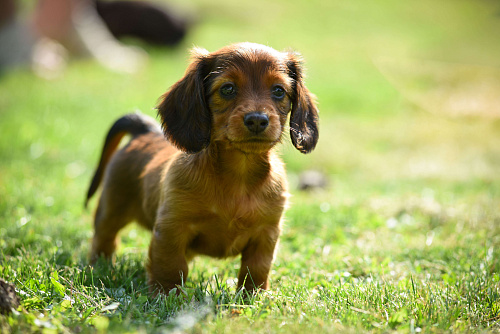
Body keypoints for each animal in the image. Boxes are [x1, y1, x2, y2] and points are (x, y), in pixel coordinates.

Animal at [85, 42, 318, 294]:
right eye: (227, 89)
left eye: (278, 91)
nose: (257, 120)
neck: (239, 175)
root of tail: (145, 130)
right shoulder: (171, 228)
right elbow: (170, 265)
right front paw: (166, 295)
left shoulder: (266, 233)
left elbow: (256, 269)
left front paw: (253, 296)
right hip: (111, 209)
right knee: (104, 240)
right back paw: (99, 268)